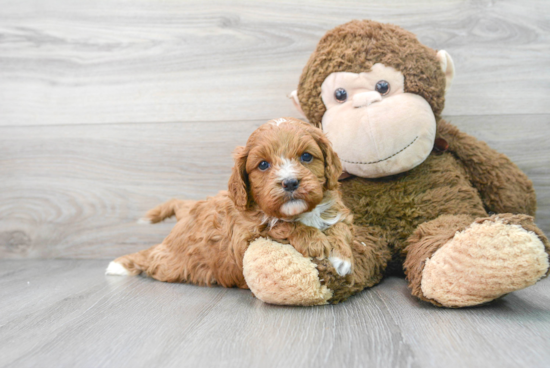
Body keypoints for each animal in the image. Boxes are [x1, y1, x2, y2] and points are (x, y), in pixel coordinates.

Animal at [106, 118, 356, 288]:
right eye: (263, 165)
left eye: (306, 156)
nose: (290, 182)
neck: (300, 213)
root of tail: (187, 208)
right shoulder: (245, 238)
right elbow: (280, 224)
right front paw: (314, 240)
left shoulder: (340, 215)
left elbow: (340, 229)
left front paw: (342, 259)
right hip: (171, 260)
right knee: (151, 256)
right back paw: (119, 265)